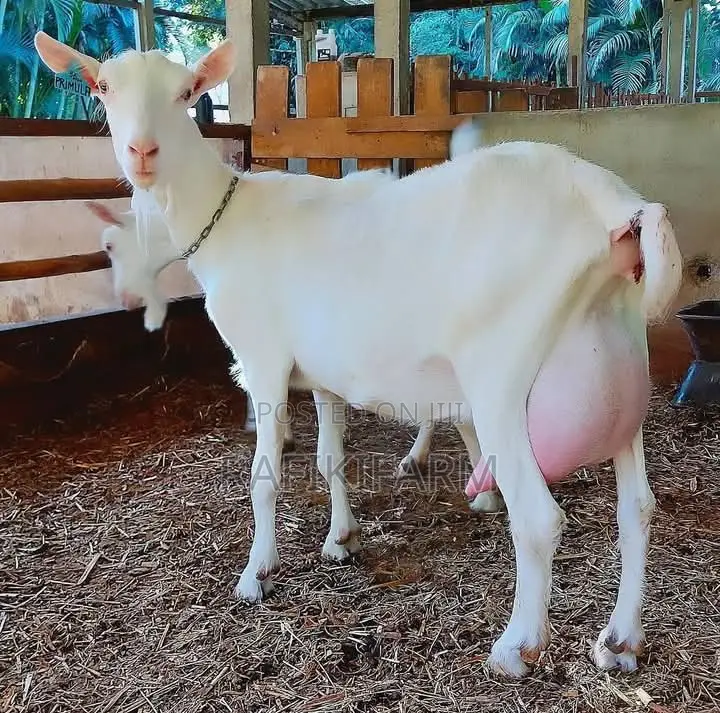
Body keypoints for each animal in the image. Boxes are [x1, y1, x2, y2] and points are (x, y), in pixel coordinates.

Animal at [35, 33, 682, 678]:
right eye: (103, 88)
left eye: (187, 92)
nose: (142, 152)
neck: (222, 220)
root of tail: (611, 207)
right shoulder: (323, 374)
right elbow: (330, 460)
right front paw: (340, 539)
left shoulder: (263, 360)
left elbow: (265, 474)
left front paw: (257, 574)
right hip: (617, 365)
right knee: (638, 508)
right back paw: (621, 640)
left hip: (503, 377)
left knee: (539, 517)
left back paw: (516, 646)